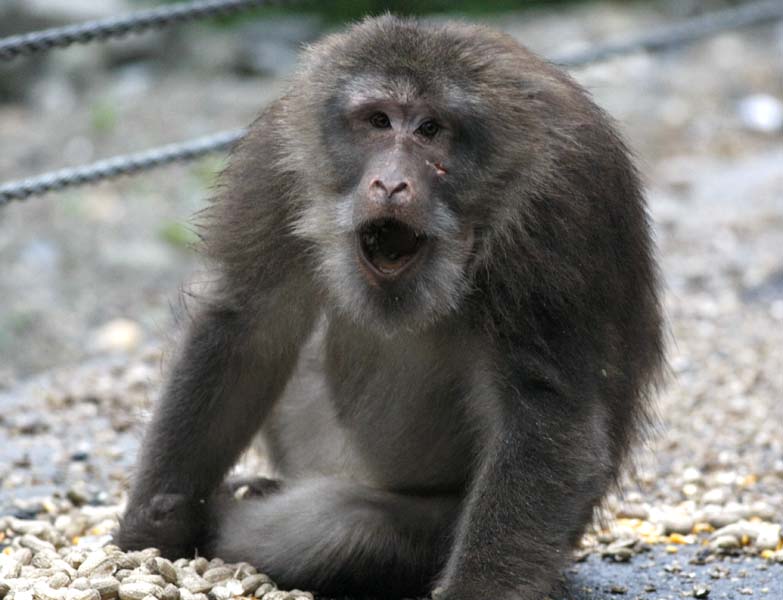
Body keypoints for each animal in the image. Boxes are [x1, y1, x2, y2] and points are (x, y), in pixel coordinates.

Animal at [117, 15, 664, 600]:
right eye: (379, 121)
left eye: (429, 130)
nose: (390, 183)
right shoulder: (282, 150)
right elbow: (246, 324)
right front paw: (151, 535)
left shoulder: (558, 203)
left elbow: (547, 407)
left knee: (340, 530)